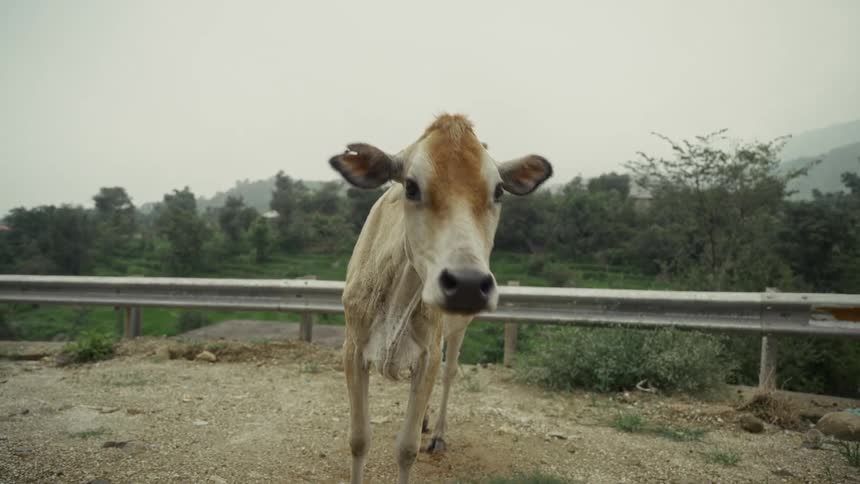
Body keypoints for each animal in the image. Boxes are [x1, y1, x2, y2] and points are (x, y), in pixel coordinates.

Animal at [328, 113, 553, 484]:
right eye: (411, 186)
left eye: (498, 190)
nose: (467, 285)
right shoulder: (353, 349)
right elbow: (358, 440)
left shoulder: (428, 354)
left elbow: (406, 448)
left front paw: (421, 435)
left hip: (457, 329)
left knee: (448, 373)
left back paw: (436, 433)